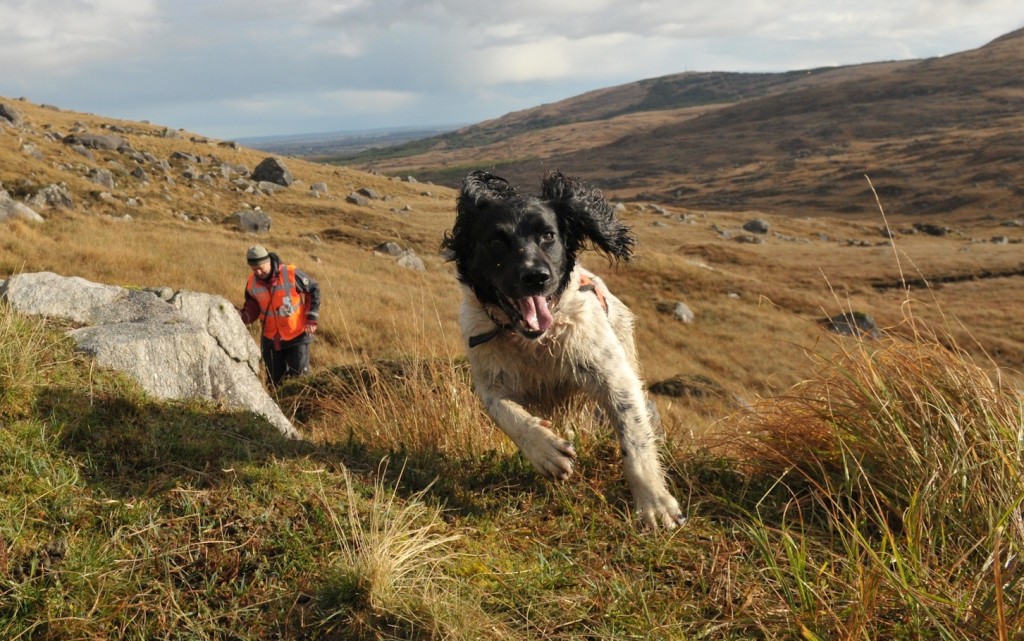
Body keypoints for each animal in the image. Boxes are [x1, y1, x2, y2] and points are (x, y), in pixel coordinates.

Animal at [442, 169, 688, 528]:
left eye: (548, 235)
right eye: (496, 241)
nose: (536, 276)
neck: (534, 342)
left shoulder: (614, 376)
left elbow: (634, 439)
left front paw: (654, 504)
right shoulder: (489, 377)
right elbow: (505, 413)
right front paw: (546, 451)